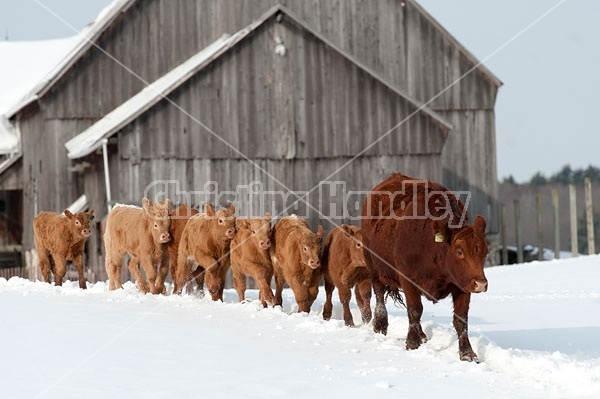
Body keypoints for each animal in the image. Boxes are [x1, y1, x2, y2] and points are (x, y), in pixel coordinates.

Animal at [360, 174, 488, 362]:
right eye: (459, 252)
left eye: (485, 251)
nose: (481, 284)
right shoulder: (407, 279)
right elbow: (414, 310)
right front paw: (412, 343)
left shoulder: (463, 284)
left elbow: (461, 319)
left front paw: (467, 352)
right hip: (374, 267)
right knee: (379, 296)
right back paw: (380, 326)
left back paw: (421, 334)